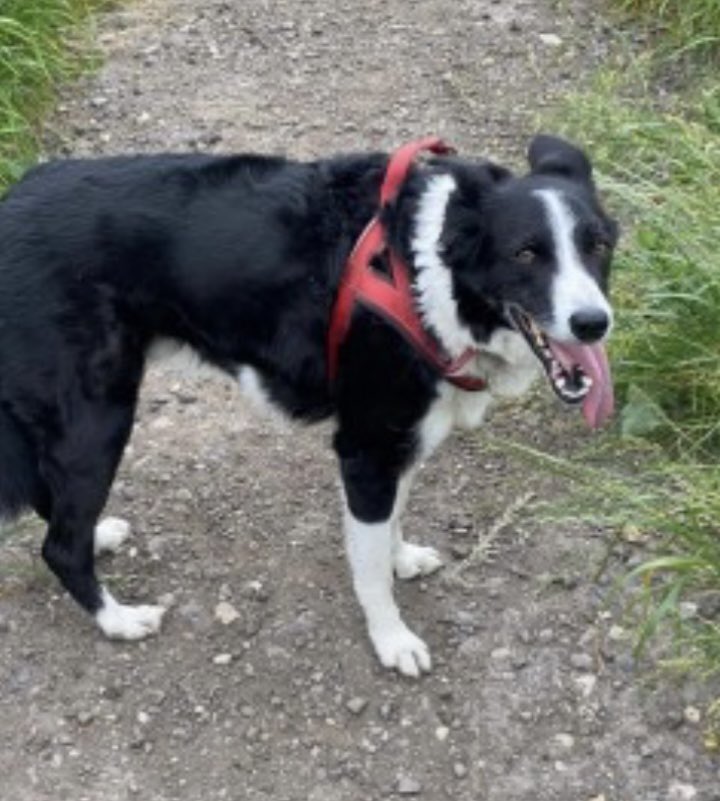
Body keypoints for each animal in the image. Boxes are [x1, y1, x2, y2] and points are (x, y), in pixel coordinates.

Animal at [0, 136, 620, 676]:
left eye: (598, 246)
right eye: (526, 253)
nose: (594, 323)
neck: (424, 277)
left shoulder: (402, 441)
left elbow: (394, 521)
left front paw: (401, 557)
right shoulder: (366, 451)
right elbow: (370, 570)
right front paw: (392, 640)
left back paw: (101, 537)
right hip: (96, 417)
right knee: (61, 546)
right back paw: (119, 619)